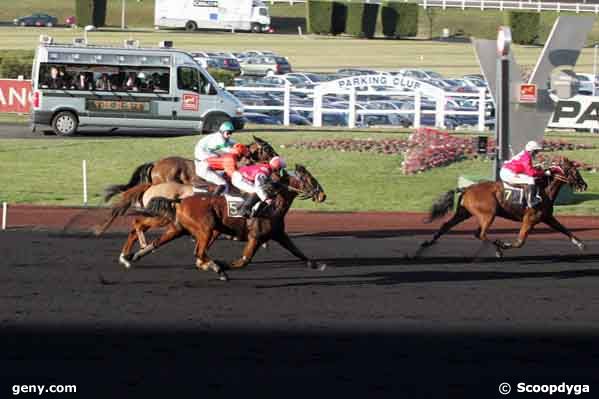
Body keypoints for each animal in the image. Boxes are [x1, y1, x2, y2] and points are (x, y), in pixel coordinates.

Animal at [123, 164, 326, 280]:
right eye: (309, 179)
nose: (322, 195)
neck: (272, 207)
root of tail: (180, 200)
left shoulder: (279, 235)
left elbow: (299, 253)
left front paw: (317, 265)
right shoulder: (255, 237)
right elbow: (243, 261)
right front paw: (221, 265)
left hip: (178, 228)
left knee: (157, 241)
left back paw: (134, 255)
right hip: (205, 229)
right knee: (198, 251)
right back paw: (215, 267)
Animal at [424, 158, 588, 258]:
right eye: (574, 171)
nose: (584, 185)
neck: (543, 190)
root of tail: (467, 188)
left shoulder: (547, 217)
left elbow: (564, 229)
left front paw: (581, 244)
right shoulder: (530, 219)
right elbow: (520, 241)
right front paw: (504, 244)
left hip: (464, 213)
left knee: (448, 226)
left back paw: (427, 243)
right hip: (488, 214)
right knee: (481, 233)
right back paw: (498, 249)